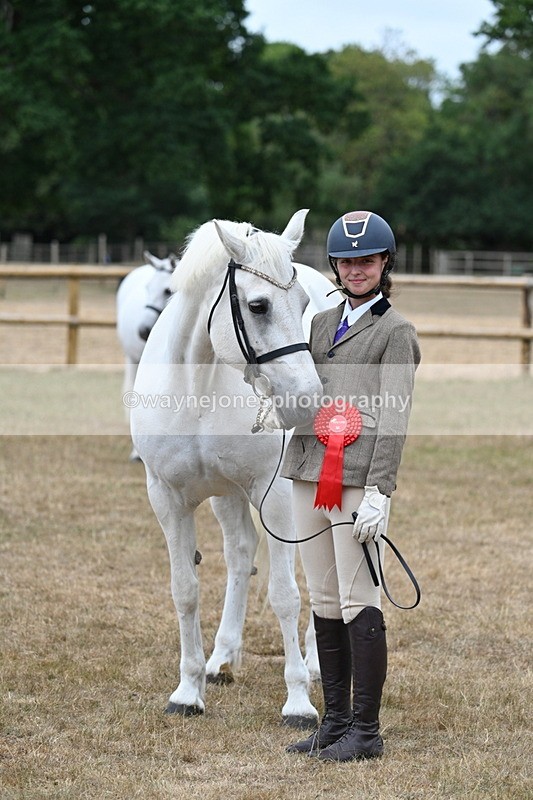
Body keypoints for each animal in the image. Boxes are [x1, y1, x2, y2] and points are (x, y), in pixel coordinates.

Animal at [131, 210, 333, 726]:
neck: (198, 386)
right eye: (258, 306)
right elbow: (185, 589)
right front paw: (187, 691)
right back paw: (221, 659)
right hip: (226, 495)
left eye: (303, 302)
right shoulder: (167, 498)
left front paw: (298, 702)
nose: (308, 400)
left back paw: (315, 663)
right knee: (241, 555)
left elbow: (285, 594)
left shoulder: (275, 493)